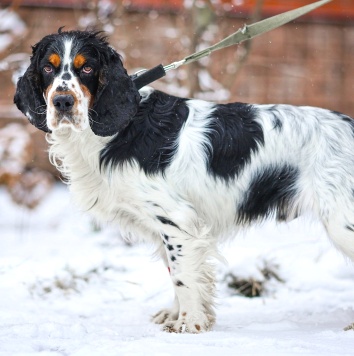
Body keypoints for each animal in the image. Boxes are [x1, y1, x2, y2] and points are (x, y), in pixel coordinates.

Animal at [13, 30, 354, 334]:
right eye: (48, 67)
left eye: (86, 68)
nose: (62, 102)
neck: (120, 129)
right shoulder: (168, 229)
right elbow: (177, 273)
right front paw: (179, 315)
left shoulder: (177, 220)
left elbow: (183, 277)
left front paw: (190, 324)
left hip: (342, 222)